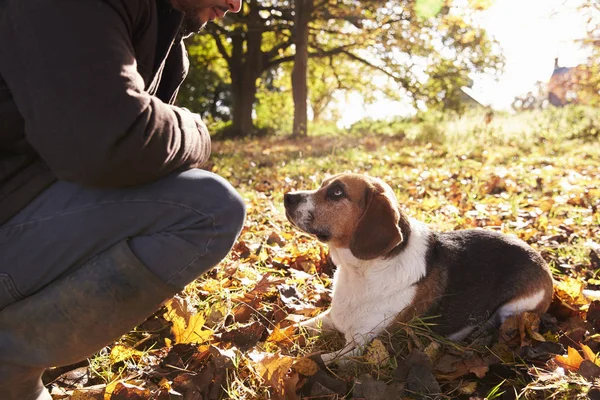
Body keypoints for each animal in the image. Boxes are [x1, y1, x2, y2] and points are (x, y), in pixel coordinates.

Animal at [284, 173, 556, 364]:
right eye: (322, 184)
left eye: (337, 192)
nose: (287, 196)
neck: (360, 272)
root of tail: (542, 262)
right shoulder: (330, 318)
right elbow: (292, 328)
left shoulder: (361, 346)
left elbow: (314, 360)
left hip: (516, 308)